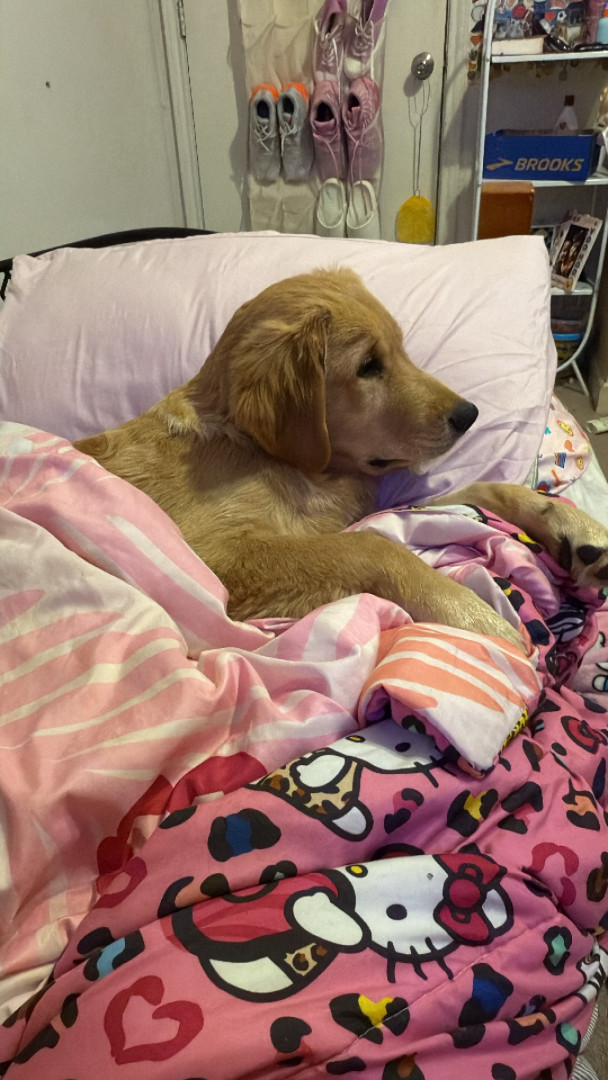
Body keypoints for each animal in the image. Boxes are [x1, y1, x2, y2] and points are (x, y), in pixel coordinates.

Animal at [75, 268, 608, 649]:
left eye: (401, 350)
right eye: (368, 367)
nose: (469, 414)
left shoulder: (351, 512)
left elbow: (481, 489)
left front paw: (571, 525)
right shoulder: (213, 556)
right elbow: (373, 547)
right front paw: (473, 613)